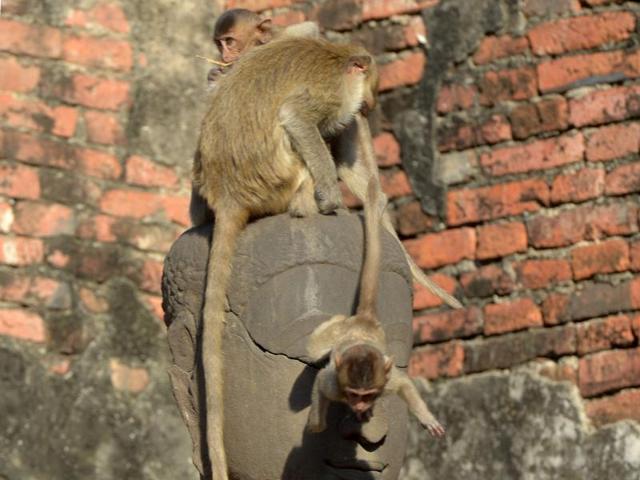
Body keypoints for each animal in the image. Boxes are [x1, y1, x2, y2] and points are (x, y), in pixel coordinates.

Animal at [195, 36, 380, 480]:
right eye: (368, 87)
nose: (368, 106)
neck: (336, 55)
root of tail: (228, 195)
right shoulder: (330, 94)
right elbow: (297, 119)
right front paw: (331, 199)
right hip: (277, 179)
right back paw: (306, 206)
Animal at [306, 178, 445, 438]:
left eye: (367, 395)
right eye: (354, 394)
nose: (361, 405)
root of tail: (364, 320)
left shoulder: (385, 381)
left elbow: (404, 384)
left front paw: (426, 417)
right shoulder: (333, 384)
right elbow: (320, 381)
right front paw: (315, 425)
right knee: (314, 348)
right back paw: (335, 321)